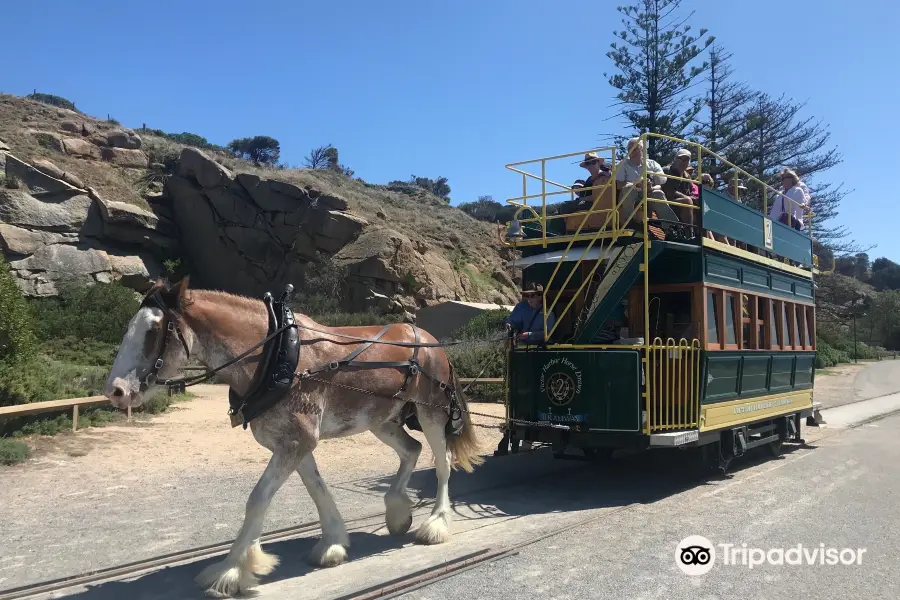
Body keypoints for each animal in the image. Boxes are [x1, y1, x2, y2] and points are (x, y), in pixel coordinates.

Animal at [102, 278, 486, 596]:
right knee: (411, 449)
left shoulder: (297, 441)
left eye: (154, 329)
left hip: (431, 412)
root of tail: (433, 342)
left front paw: (231, 570)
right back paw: (396, 511)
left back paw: (436, 524)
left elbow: (258, 499)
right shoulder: (292, 443)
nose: (115, 391)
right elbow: (317, 488)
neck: (277, 356)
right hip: (382, 421)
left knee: (442, 462)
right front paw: (332, 543)